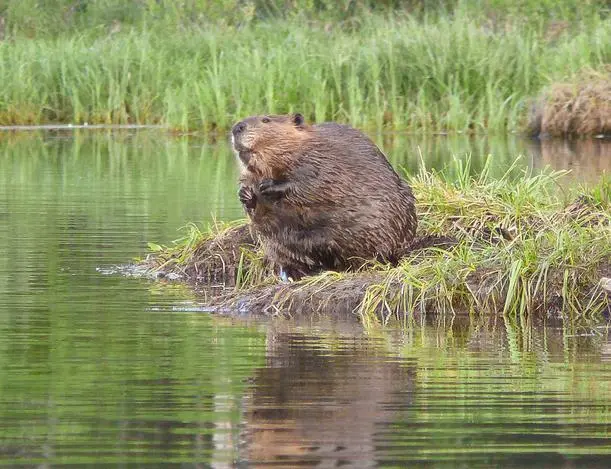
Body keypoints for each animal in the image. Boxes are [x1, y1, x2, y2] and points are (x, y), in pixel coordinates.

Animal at [232, 113, 418, 280]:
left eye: (266, 120)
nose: (237, 127)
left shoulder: (320, 159)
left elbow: (312, 181)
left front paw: (269, 186)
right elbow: (259, 211)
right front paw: (245, 193)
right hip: (276, 244)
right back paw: (292, 274)